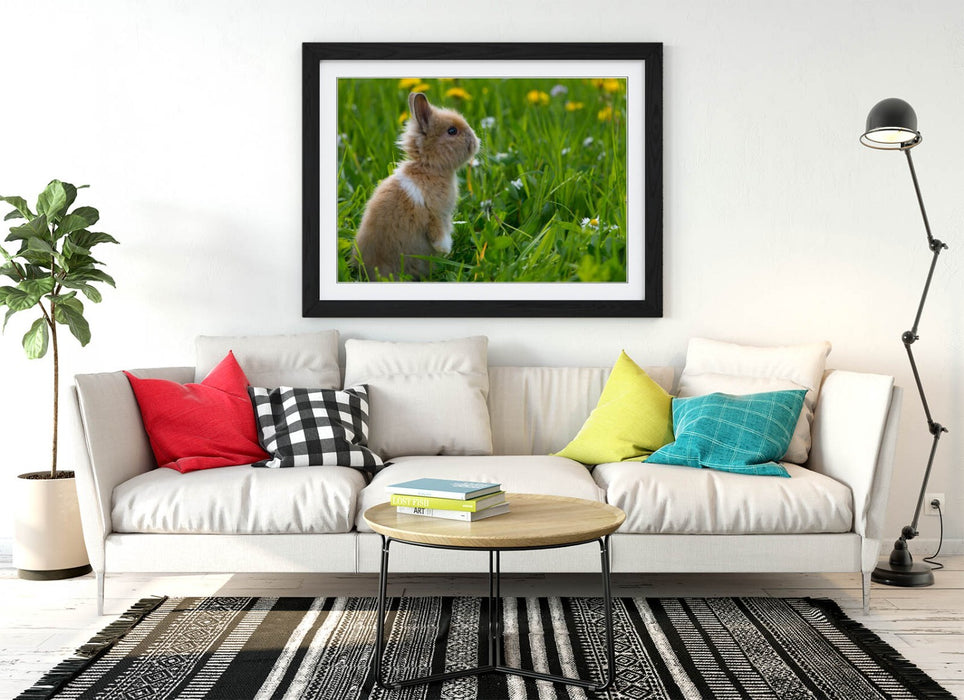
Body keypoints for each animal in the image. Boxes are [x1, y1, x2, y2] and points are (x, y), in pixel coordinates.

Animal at [354, 91, 479, 280]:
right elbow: (439, 234)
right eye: (452, 131)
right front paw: (445, 249)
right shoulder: (437, 215)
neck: (428, 168)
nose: (476, 141)